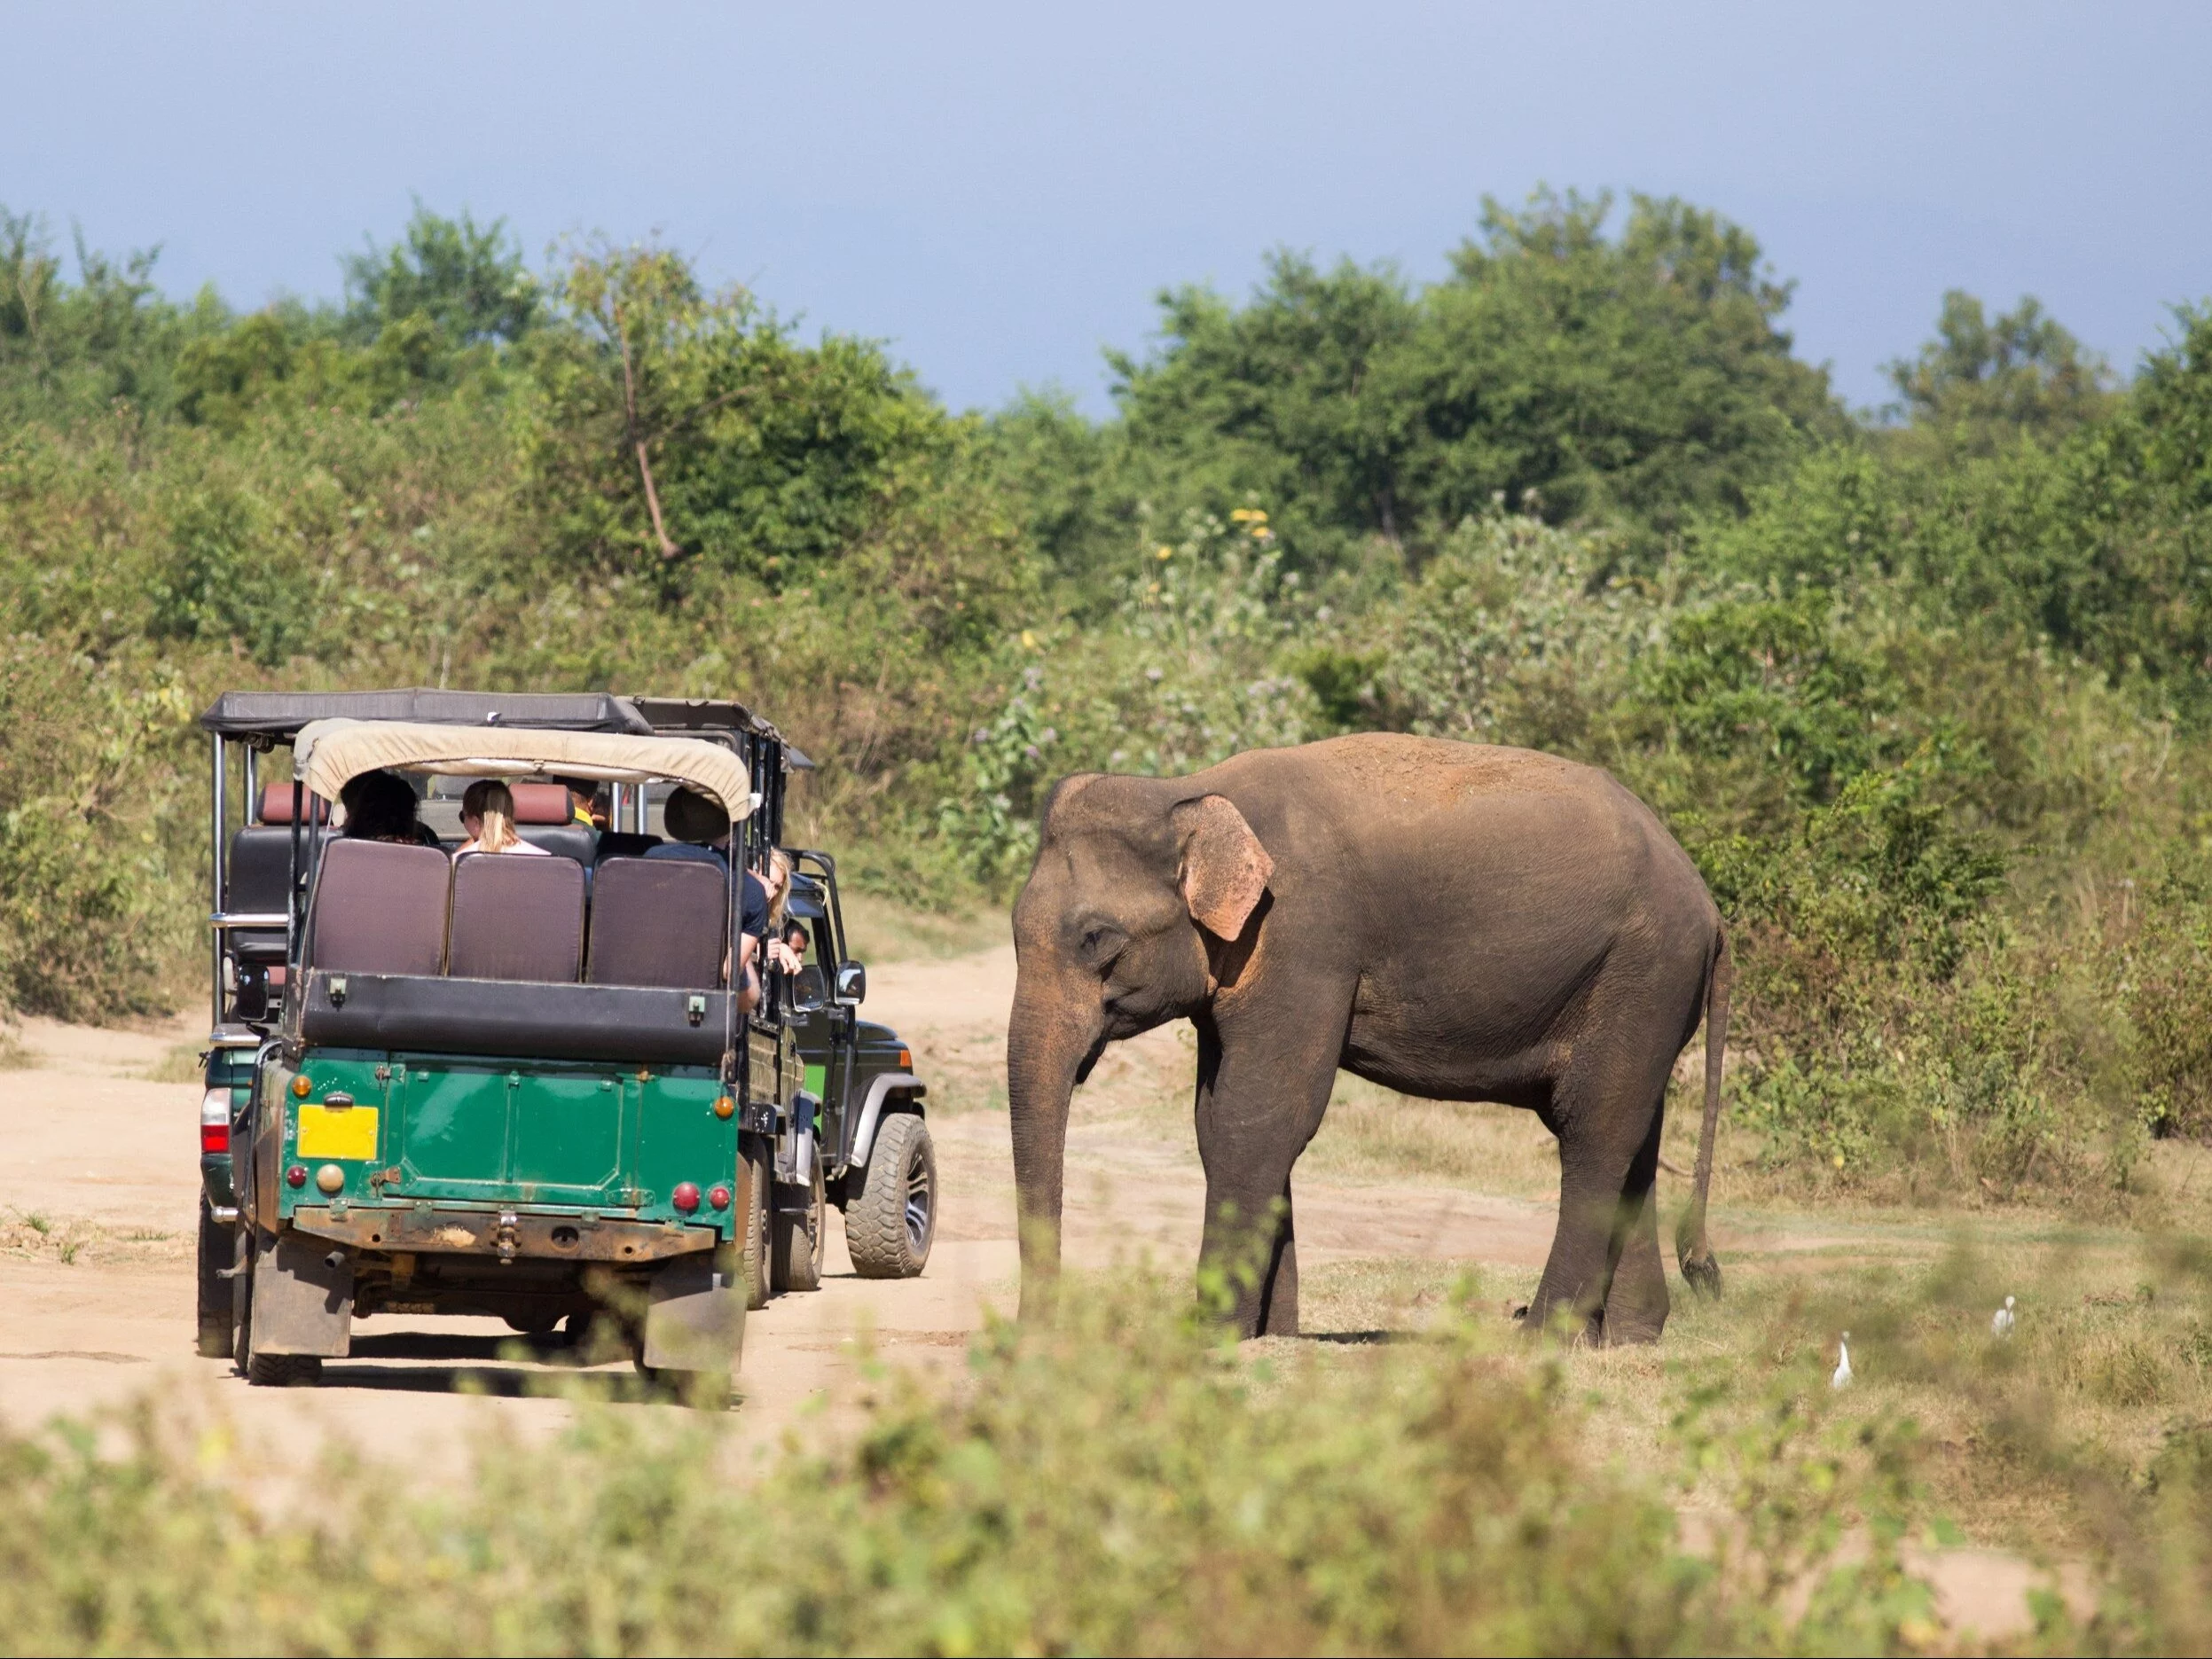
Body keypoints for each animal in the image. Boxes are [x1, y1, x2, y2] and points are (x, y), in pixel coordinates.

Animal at [1004, 739, 1725, 1353]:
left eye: (1097, 939)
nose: (1041, 1335)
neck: (1190, 792)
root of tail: (1711, 906)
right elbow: (1216, 1121)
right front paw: (1272, 1336)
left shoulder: (1306, 934)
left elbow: (1260, 1117)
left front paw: (1211, 1338)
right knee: (1634, 1133)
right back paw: (1626, 1340)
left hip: (1644, 971)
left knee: (1593, 1130)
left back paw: (1540, 1338)